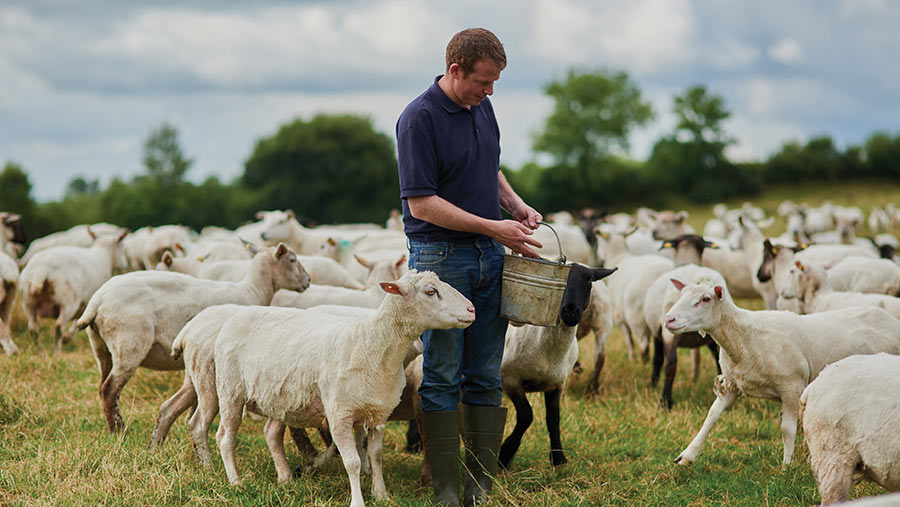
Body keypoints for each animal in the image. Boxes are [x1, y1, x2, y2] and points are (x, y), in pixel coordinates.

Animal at [74, 243, 306, 432]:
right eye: (292, 260)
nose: (308, 280)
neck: (253, 290)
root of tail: (97, 300)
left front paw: (188, 417)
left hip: (101, 348)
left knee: (103, 387)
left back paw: (114, 425)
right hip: (129, 344)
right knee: (109, 389)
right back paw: (119, 430)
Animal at [199, 270, 478, 507]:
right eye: (431, 291)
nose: (472, 309)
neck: (373, 344)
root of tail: (236, 316)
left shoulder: (378, 413)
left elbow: (376, 455)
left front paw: (381, 494)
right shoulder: (339, 415)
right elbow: (352, 462)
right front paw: (358, 501)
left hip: (282, 399)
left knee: (271, 433)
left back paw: (285, 477)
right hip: (230, 391)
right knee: (225, 437)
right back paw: (235, 481)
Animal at [496, 264, 616, 470]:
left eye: (589, 281)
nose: (570, 311)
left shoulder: (557, 385)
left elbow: (553, 420)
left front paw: (559, 459)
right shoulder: (510, 380)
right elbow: (526, 415)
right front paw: (505, 454)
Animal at [660, 282, 900, 468]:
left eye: (705, 299)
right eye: (682, 295)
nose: (668, 320)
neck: (745, 338)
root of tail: (890, 320)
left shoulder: (791, 386)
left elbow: (787, 429)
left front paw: (786, 466)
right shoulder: (733, 384)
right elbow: (711, 416)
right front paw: (687, 455)